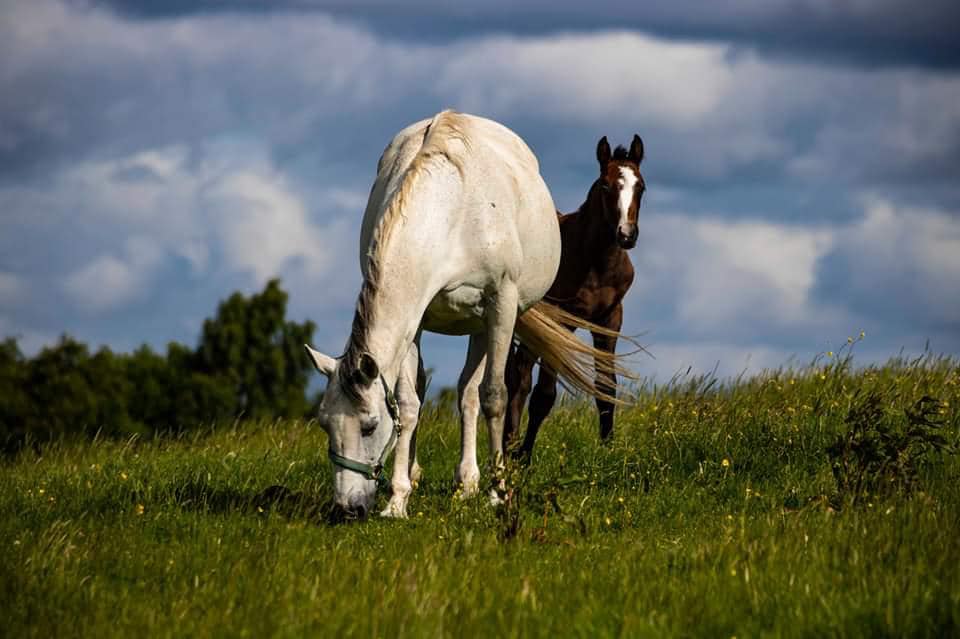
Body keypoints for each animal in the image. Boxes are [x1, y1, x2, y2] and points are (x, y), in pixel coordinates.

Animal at [304, 110, 628, 520]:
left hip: (487, 324)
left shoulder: (501, 306)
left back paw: (470, 482)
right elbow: (408, 404)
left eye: (369, 426)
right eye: (324, 424)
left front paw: (498, 492)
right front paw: (398, 499)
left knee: (473, 394)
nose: (348, 509)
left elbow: (494, 396)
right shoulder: (414, 319)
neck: (452, 215)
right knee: (446, 391)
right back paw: (430, 476)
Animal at [502, 132, 644, 458]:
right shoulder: (561, 322)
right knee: (516, 378)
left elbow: (606, 389)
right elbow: (544, 395)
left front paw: (608, 451)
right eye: (606, 185)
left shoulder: (609, 320)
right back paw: (509, 447)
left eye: (641, 186)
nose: (626, 235)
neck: (595, 261)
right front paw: (525, 459)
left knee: (519, 374)